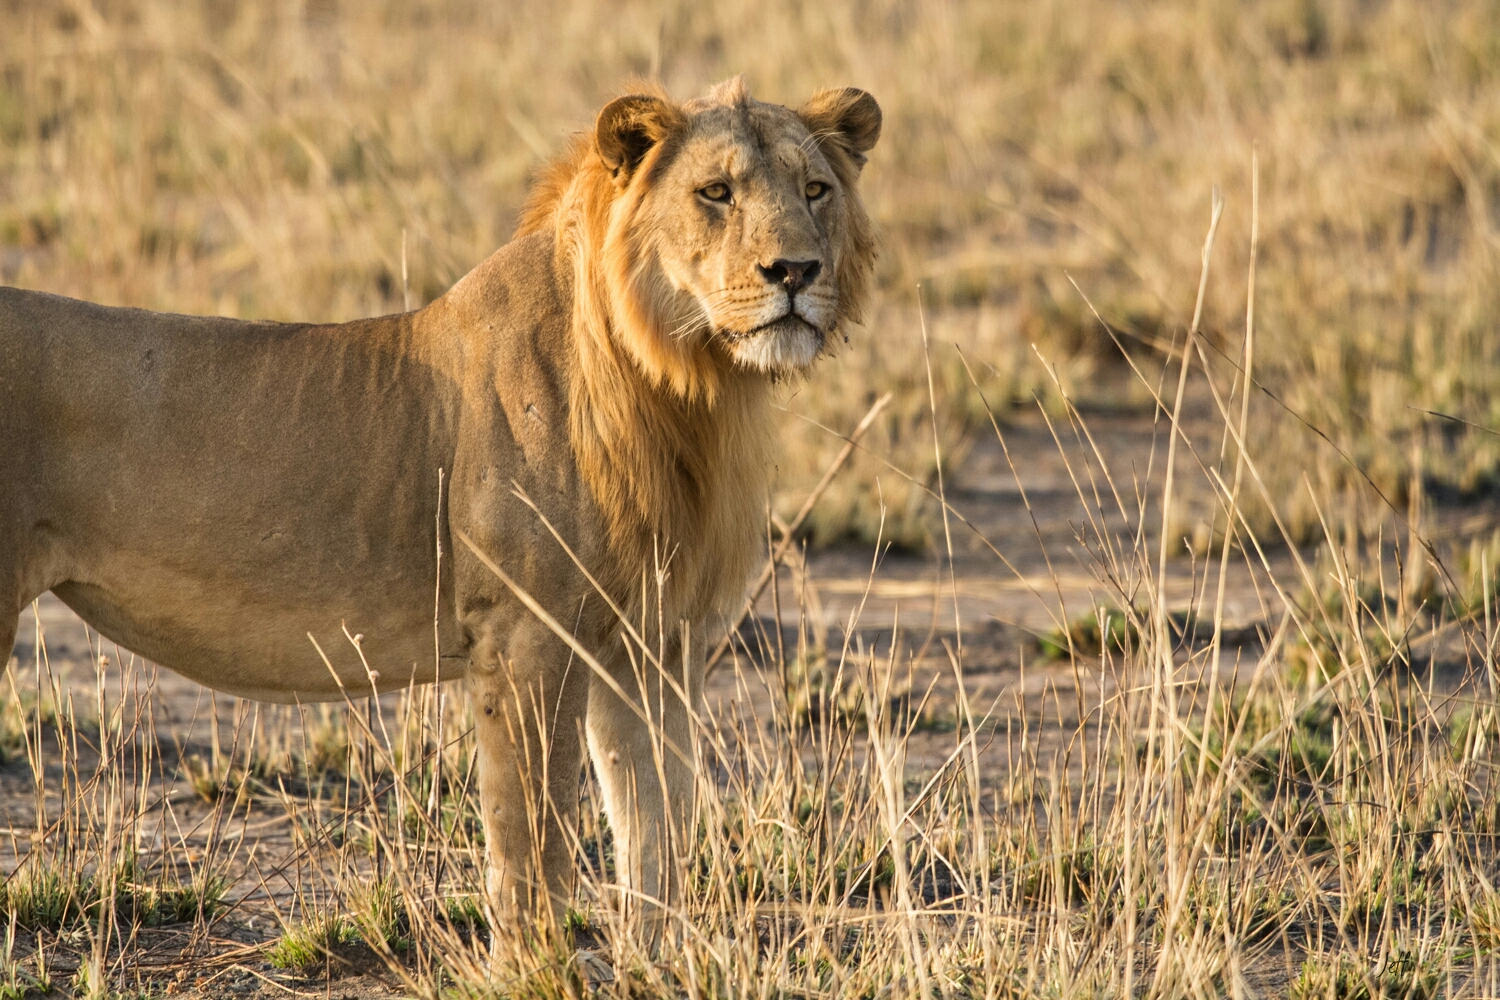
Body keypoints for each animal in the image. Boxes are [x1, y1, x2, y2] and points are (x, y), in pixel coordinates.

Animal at [0, 76, 876, 929]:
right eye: (716, 192)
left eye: (816, 189)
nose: (796, 272)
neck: (687, 390)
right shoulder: (526, 636)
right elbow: (534, 847)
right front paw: (538, 963)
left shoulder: (648, 647)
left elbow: (655, 838)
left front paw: (653, 958)